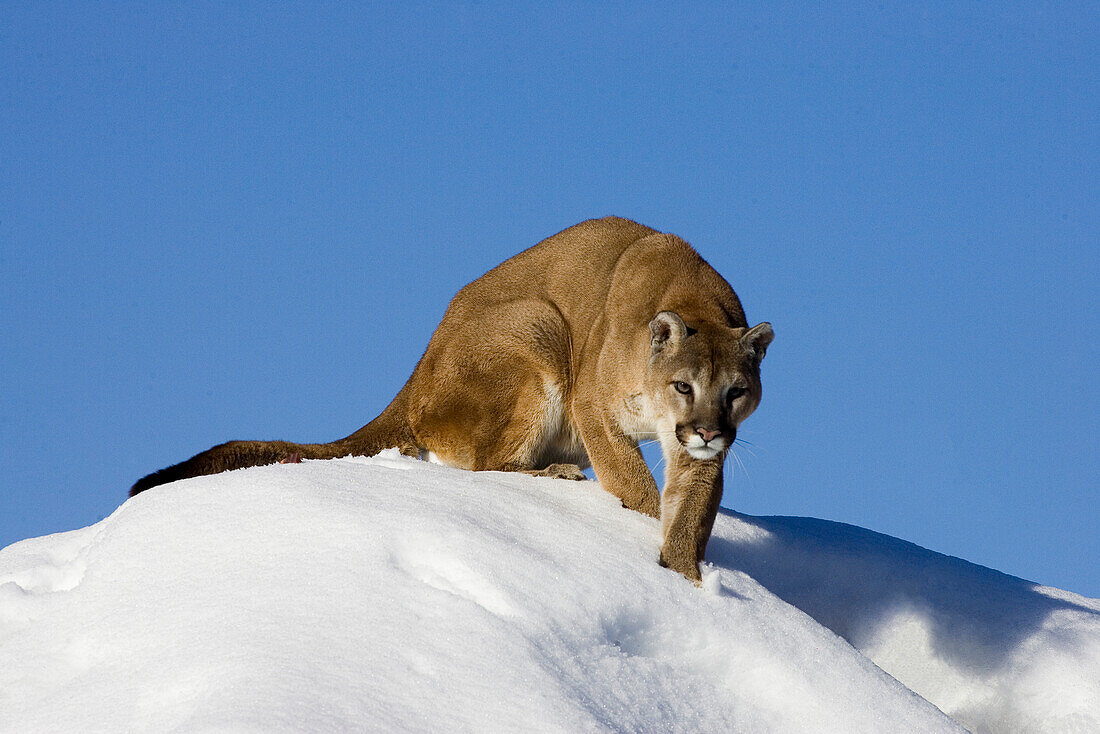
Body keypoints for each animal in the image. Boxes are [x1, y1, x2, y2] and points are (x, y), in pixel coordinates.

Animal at [133, 217, 774, 585]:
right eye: (683, 386)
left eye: (735, 391)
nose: (708, 431)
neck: (694, 299)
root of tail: (417, 372)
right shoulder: (594, 406)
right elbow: (635, 487)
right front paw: (648, 529)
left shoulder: (698, 452)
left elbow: (691, 509)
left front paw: (687, 576)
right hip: (539, 325)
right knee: (488, 465)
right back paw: (559, 474)